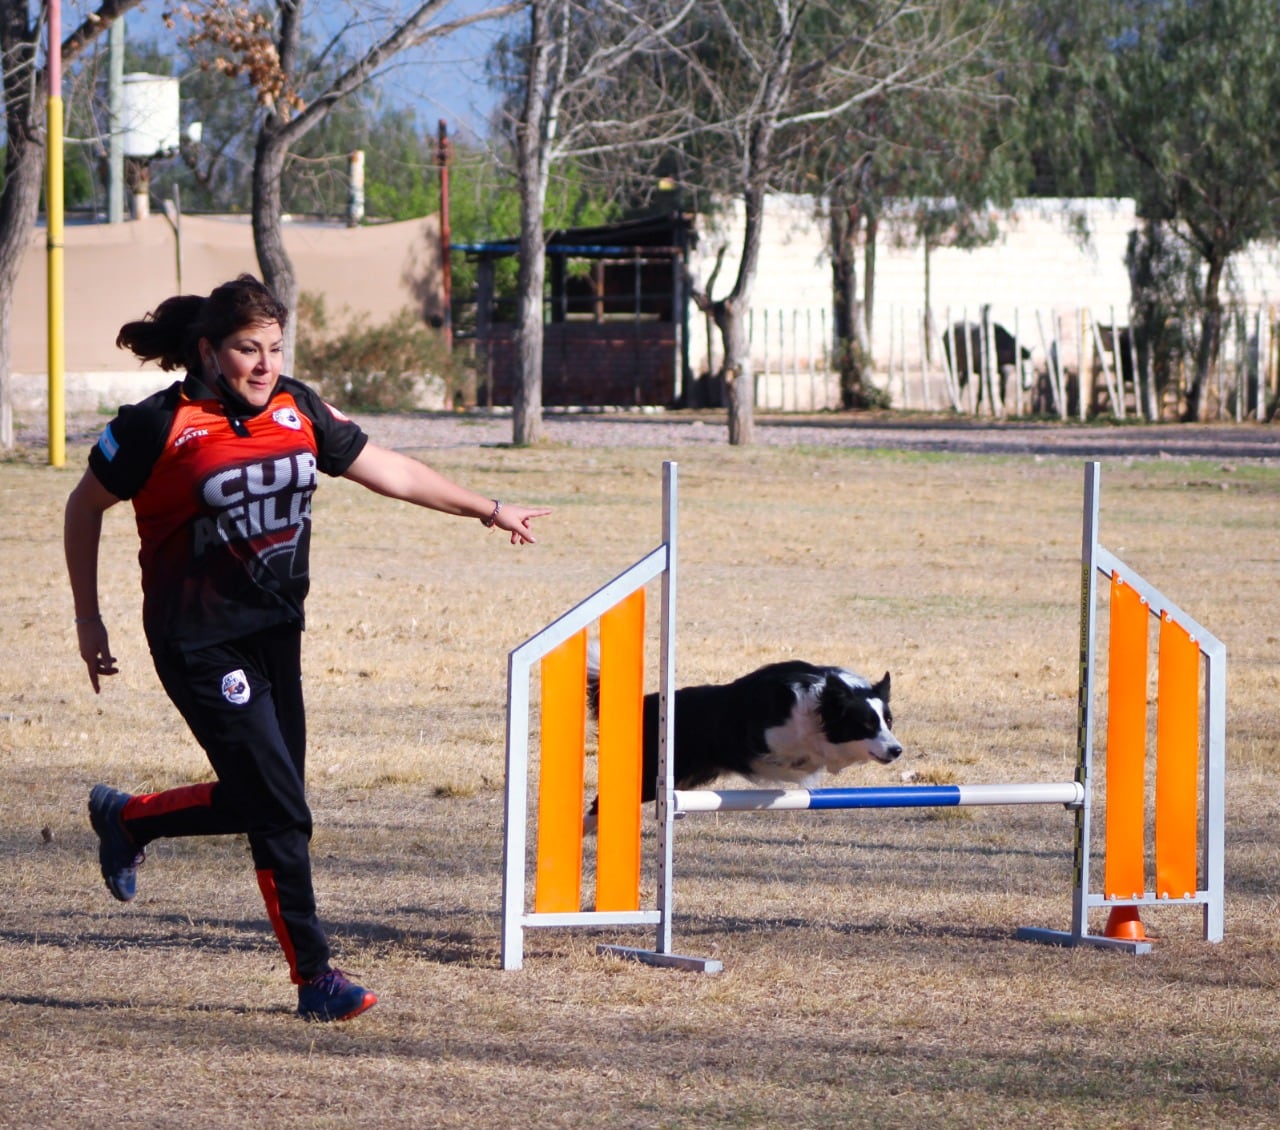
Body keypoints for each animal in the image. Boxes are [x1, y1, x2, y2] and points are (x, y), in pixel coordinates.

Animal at [586, 655, 906, 824]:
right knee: (596, 807)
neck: (820, 703)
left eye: (888, 721)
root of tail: (649, 702)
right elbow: (806, 752)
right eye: (866, 724)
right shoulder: (768, 738)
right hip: (648, 775)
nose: (896, 750)